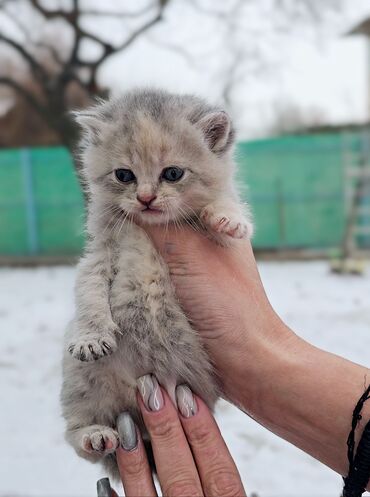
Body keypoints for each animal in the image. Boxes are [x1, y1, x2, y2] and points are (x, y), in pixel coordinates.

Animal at [60, 87, 253, 478]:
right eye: (124, 175)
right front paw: (90, 336)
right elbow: (88, 291)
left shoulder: (224, 253)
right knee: (78, 436)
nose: (146, 198)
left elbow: (225, 210)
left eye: (173, 173)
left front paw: (227, 216)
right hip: (79, 378)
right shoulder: (98, 256)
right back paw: (95, 435)